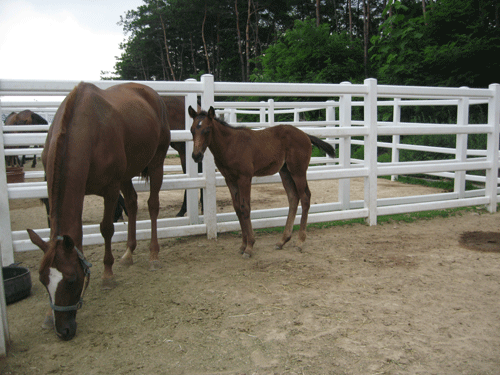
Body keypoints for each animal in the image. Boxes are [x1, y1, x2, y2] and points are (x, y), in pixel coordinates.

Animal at [27, 82, 172, 340]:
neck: (85, 130)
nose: (63, 331)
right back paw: (128, 253)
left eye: (72, 280)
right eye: (43, 280)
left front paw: (107, 275)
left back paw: (153, 256)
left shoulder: (111, 188)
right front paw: (47, 315)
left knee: (152, 205)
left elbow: (106, 229)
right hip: (127, 173)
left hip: (156, 163)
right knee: (132, 203)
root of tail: (153, 94)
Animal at [188, 106, 336, 258]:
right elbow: (237, 208)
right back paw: (282, 240)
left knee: (305, 197)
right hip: (285, 172)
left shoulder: (245, 178)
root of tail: (305, 135)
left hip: (298, 171)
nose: (196, 156)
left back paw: (300, 242)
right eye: (192, 130)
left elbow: (245, 207)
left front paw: (249, 247)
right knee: (293, 197)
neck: (230, 145)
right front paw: (243, 245)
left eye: (207, 130)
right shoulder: (230, 180)